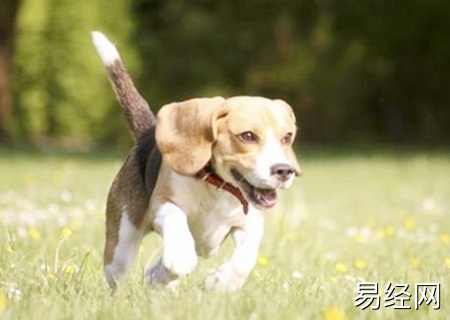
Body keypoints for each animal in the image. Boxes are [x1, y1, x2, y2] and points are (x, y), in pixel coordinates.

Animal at [92, 31, 302, 292]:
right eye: (247, 136)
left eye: (287, 137)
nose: (284, 171)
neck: (218, 187)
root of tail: (147, 133)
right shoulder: (163, 203)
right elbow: (176, 219)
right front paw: (181, 257)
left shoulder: (250, 221)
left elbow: (247, 257)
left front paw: (222, 282)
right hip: (121, 243)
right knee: (119, 273)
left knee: (155, 272)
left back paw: (159, 279)